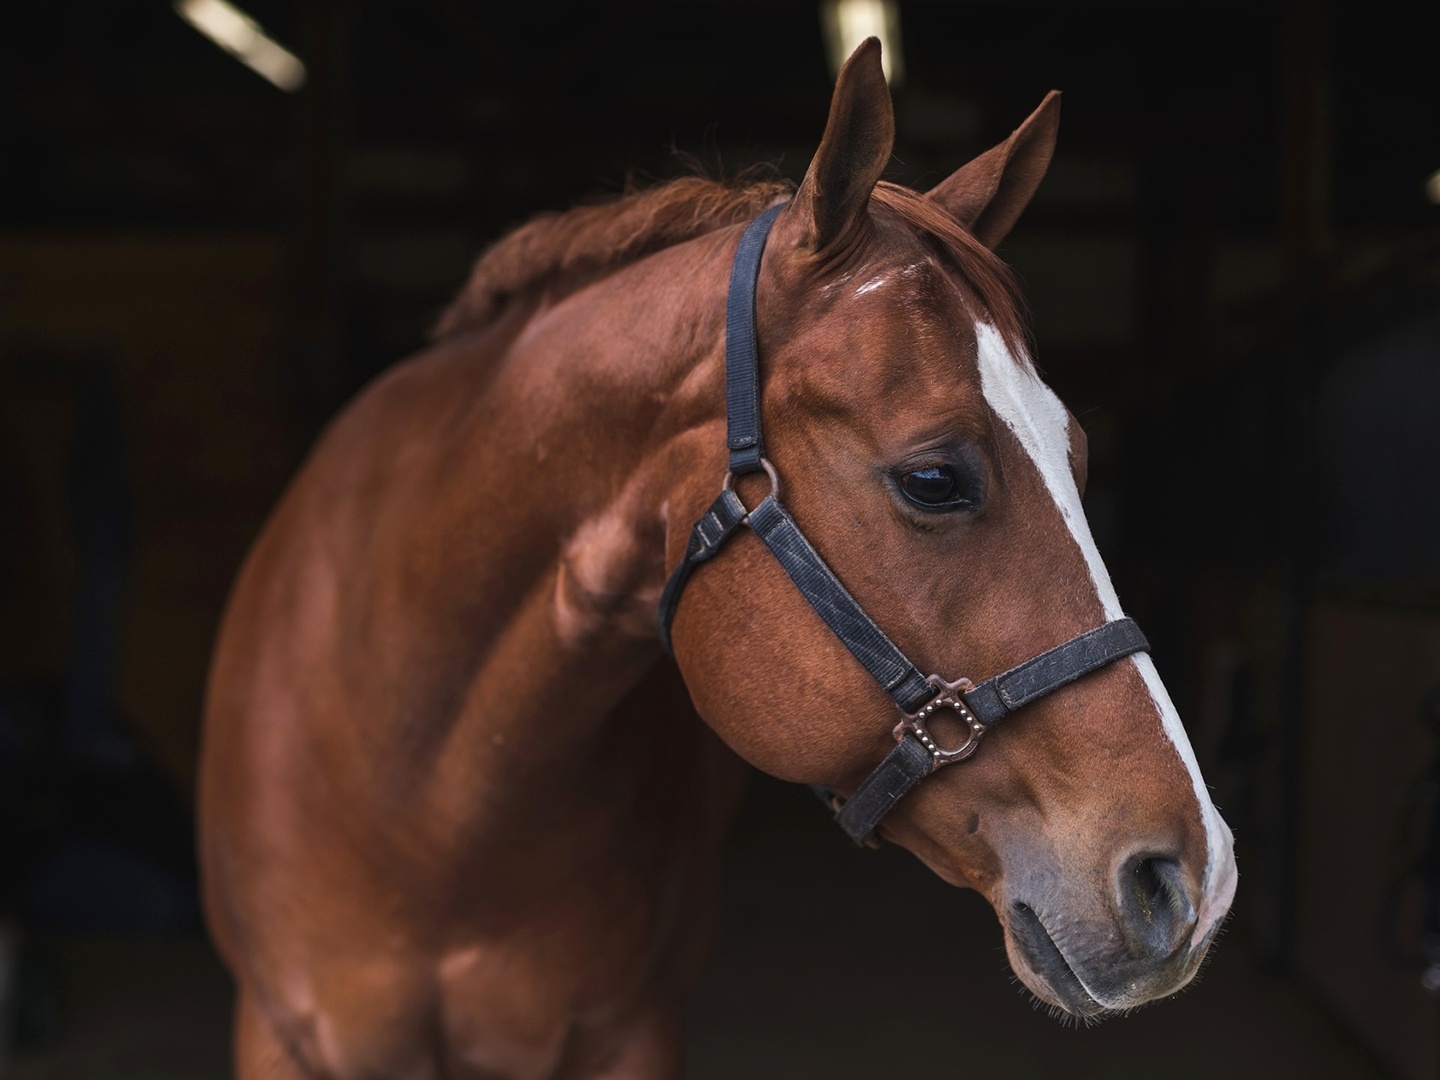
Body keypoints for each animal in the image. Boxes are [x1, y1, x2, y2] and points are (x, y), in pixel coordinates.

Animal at [200, 40, 1238, 1080]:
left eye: (1079, 456)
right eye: (934, 478)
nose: (1194, 880)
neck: (434, 807)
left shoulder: (633, 1032)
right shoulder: (281, 1035)